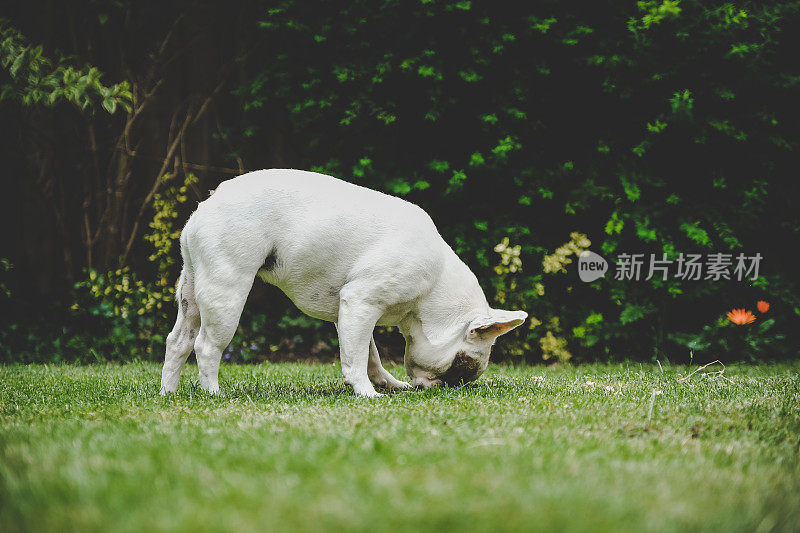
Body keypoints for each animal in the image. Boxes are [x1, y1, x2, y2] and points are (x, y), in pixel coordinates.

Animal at [159, 168, 528, 396]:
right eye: (461, 367)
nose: (447, 388)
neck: (433, 287)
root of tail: (211, 201)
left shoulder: (353, 312)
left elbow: (369, 353)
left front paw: (387, 384)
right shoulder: (362, 301)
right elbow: (356, 358)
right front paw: (366, 392)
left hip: (192, 290)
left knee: (178, 342)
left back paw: (169, 393)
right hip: (227, 290)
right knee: (206, 346)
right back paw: (213, 393)